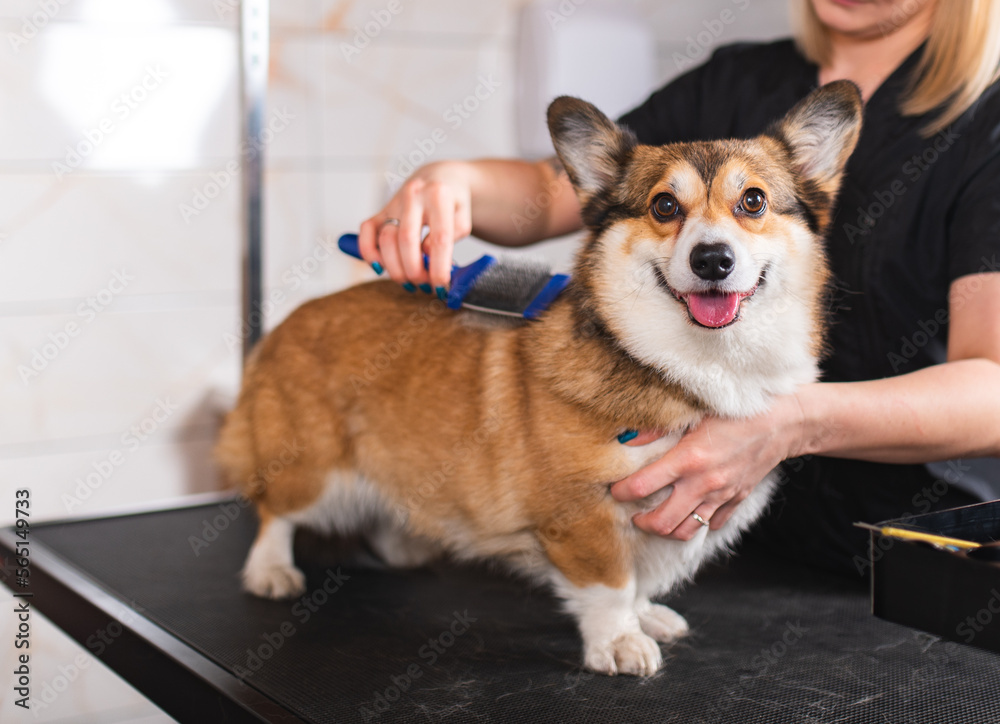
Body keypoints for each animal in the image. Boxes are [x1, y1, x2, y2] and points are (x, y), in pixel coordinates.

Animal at [217, 82, 860, 676]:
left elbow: (640, 581)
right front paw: (618, 642)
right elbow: (611, 585)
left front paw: (645, 616)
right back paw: (270, 570)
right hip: (313, 470)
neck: (692, 365)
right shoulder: (582, 516)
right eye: (663, 207)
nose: (713, 260)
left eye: (753, 201)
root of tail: (287, 322)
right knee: (275, 513)